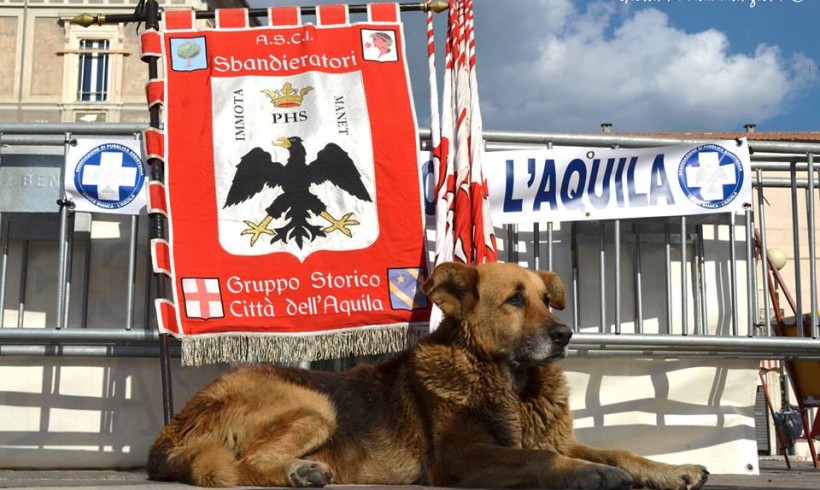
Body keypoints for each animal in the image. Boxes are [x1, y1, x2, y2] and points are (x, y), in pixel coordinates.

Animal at [149, 262, 712, 488]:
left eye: (546, 299)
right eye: (515, 300)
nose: (565, 335)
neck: (510, 384)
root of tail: (171, 432)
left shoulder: (555, 437)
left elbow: (616, 450)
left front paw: (669, 470)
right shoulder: (462, 457)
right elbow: (541, 459)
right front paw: (588, 474)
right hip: (316, 405)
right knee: (239, 466)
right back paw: (297, 472)